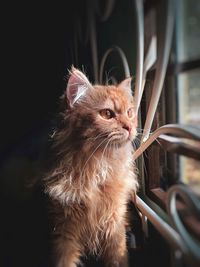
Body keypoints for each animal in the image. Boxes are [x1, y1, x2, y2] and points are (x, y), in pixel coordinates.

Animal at [43, 67, 138, 267]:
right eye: (107, 114)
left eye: (130, 113)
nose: (130, 127)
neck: (96, 169)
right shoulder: (63, 230)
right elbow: (63, 260)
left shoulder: (115, 223)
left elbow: (118, 257)